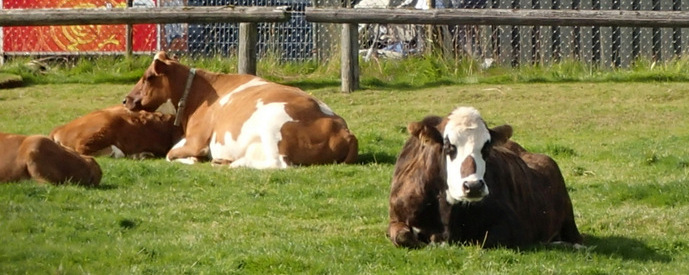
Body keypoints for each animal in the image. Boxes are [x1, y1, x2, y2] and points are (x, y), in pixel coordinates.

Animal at [123, 50, 358, 169]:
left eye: (148, 77)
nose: (126, 100)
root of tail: (343, 129)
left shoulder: (196, 141)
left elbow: (171, 154)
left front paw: (192, 159)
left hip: (271, 125)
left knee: (278, 164)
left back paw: (232, 163)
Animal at [388, 108, 580, 250]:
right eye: (449, 146)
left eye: (486, 148)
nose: (473, 186)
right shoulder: (396, 218)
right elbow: (403, 236)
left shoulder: (515, 226)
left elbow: (484, 241)